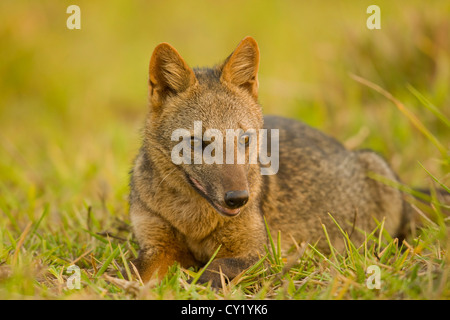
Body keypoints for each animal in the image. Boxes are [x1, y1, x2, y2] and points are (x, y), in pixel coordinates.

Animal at [129, 36, 412, 286]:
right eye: (199, 142)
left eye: (244, 139)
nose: (238, 199)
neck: (193, 223)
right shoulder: (156, 247)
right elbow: (136, 274)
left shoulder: (260, 253)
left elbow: (213, 269)